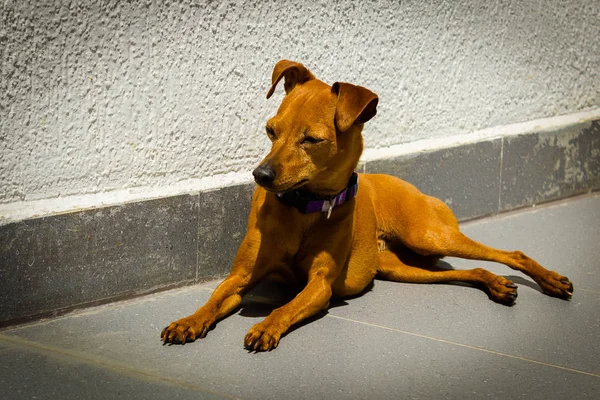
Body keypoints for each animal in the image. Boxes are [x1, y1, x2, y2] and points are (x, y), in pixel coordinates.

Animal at [162, 59, 576, 350]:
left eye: (311, 139)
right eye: (270, 130)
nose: (260, 175)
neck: (304, 208)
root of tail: (410, 186)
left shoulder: (320, 286)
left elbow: (287, 305)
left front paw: (266, 325)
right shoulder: (239, 277)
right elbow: (214, 299)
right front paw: (188, 321)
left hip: (428, 236)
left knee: (511, 253)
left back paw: (550, 280)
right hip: (401, 267)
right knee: (468, 271)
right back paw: (496, 284)